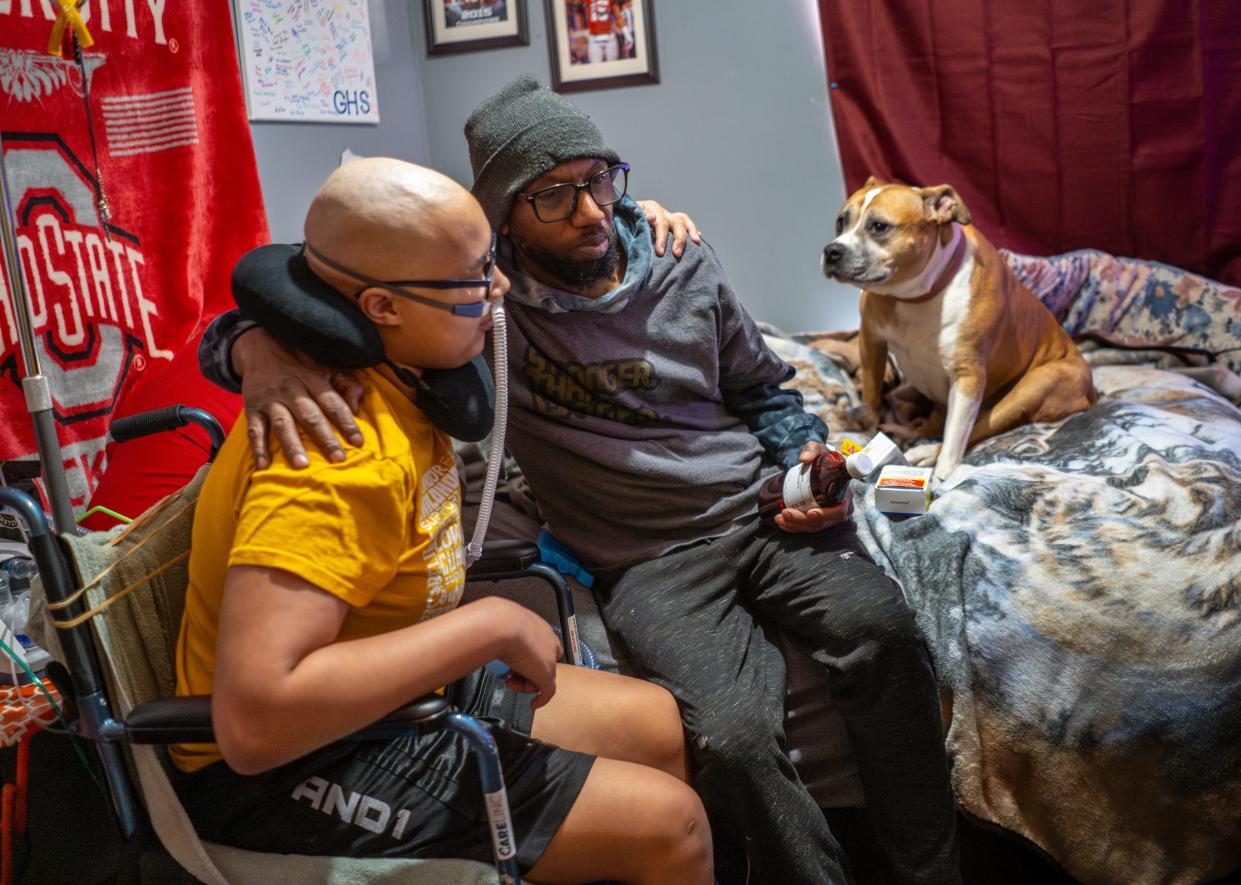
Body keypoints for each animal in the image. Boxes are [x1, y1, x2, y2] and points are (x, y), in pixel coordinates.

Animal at [824, 177, 1097, 479]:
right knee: (915, 410)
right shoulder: (871, 341)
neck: (917, 297)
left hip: (1036, 386)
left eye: (879, 226)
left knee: (974, 427)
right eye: (841, 221)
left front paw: (942, 474)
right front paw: (868, 428)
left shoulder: (968, 375)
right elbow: (871, 394)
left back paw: (925, 450)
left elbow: (956, 435)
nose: (832, 251)